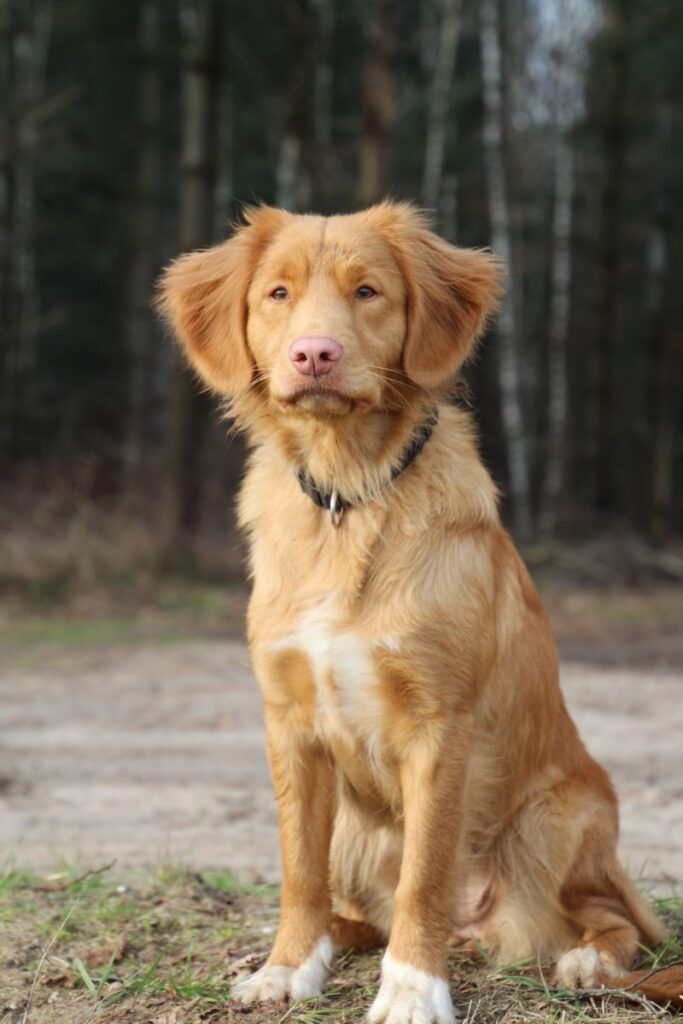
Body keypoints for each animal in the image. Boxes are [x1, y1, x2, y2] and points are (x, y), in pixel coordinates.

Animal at [157, 201, 671, 1024]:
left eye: (367, 291)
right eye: (277, 294)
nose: (314, 354)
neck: (348, 493)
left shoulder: (439, 726)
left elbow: (425, 878)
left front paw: (410, 990)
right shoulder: (289, 724)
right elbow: (298, 869)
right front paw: (287, 967)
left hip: (554, 818)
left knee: (617, 918)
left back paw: (586, 960)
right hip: (354, 830)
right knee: (356, 909)